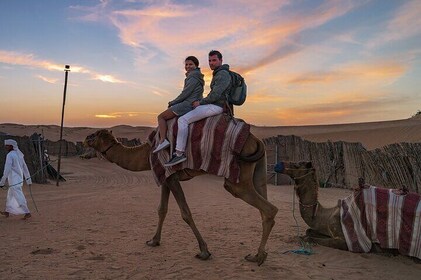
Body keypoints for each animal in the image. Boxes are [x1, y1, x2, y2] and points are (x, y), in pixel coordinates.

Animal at [83, 129, 278, 264]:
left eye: (93, 136)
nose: (85, 140)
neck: (146, 153)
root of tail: (256, 140)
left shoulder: (172, 177)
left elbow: (186, 213)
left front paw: (204, 251)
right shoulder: (165, 176)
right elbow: (162, 209)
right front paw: (154, 241)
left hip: (239, 176)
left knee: (268, 207)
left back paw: (258, 256)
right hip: (258, 168)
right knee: (264, 203)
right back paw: (258, 255)